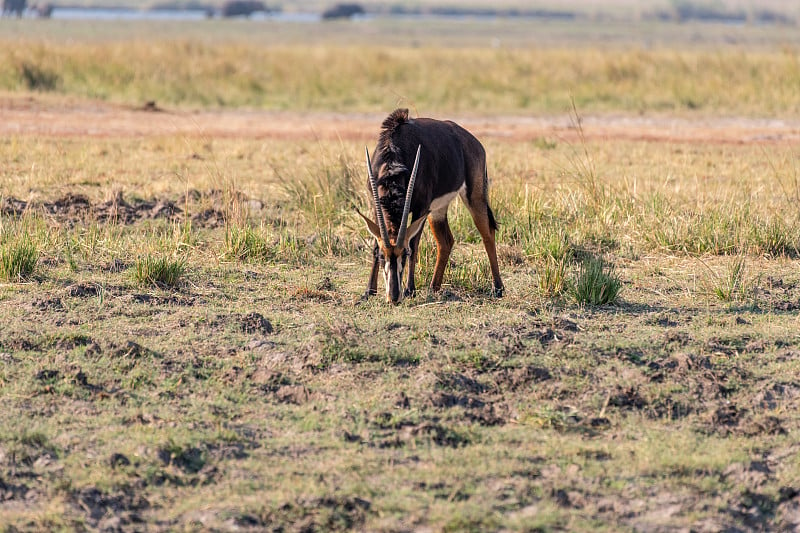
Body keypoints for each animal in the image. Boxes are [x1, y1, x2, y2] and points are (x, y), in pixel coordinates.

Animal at [358, 108, 504, 304]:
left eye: (404, 254)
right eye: (383, 256)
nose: (394, 297)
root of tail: (474, 143)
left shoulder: (421, 207)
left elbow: (414, 244)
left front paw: (409, 290)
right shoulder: (376, 206)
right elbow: (375, 244)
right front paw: (369, 291)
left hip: (474, 196)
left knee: (487, 233)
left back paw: (498, 288)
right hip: (437, 210)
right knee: (446, 241)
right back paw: (434, 287)